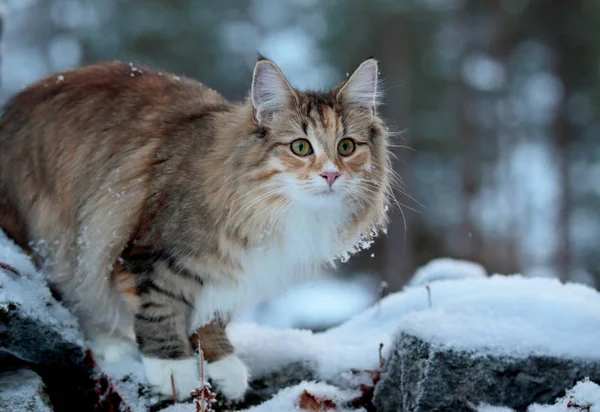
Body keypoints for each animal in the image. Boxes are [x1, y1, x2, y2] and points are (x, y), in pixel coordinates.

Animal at [0, 56, 392, 400]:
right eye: (300, 147)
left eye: (346, 147)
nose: (331, 175)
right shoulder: (150, 254)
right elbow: (161, 307)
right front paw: (172, 368)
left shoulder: (233, 271)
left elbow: (211, 316)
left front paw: (220, 361)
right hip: (58, 240)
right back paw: (111, 344)